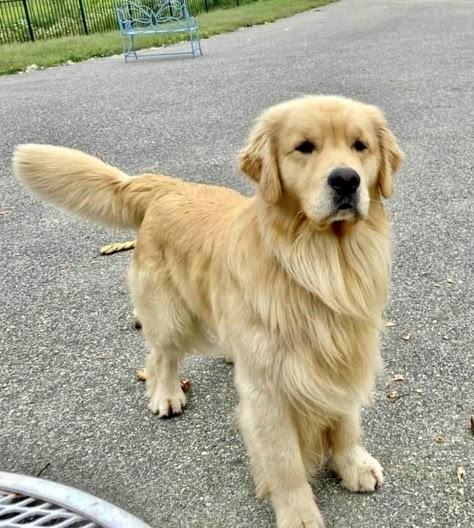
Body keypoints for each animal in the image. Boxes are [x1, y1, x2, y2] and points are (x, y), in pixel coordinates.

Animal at [13, 96, 404, 528]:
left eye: (360, 146)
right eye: (304, 147)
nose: (346, 180)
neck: (318, 263)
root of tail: (168, 186)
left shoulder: (345, 351)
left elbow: (346, 420)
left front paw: (353, 464)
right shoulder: (267, 391)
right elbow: (284, 462)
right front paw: (299, 513)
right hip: (169, 314)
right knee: (160, 356)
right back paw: (166, 394)